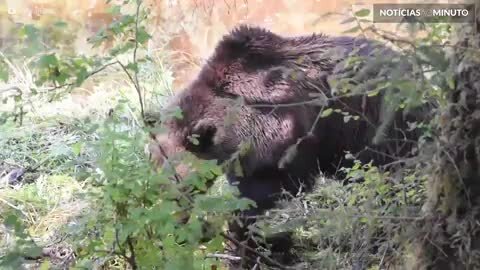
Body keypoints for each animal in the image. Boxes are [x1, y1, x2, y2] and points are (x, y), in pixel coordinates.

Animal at [148, 24, 426, 268]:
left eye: (179, 181)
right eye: (156, 173)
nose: (175, 225)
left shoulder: (281, 139)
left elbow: (264, 201)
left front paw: (252, 249)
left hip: (380, 123)